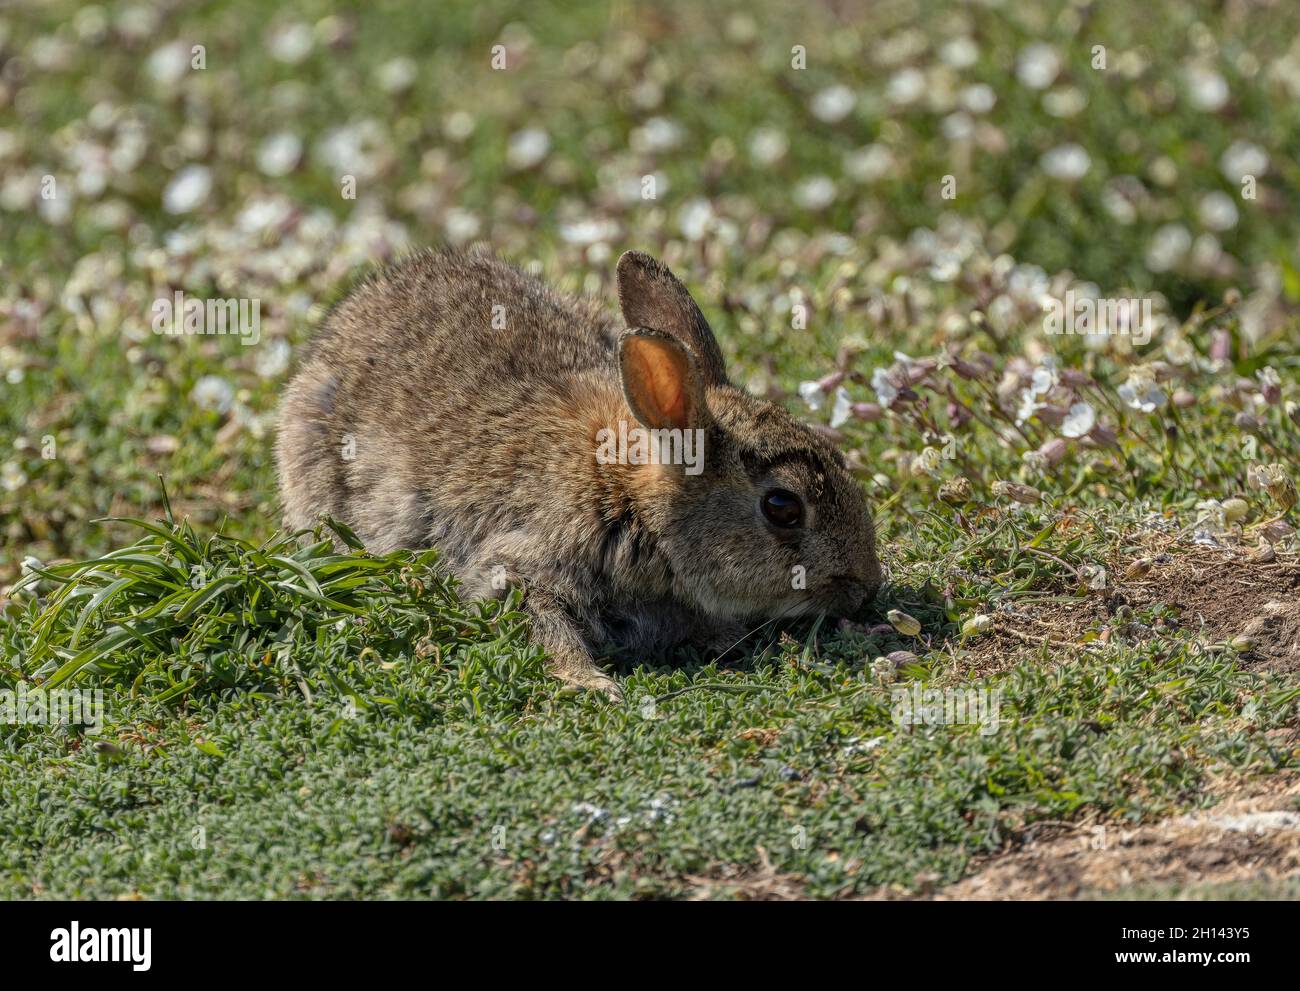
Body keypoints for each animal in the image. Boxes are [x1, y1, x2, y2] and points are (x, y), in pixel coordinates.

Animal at [274, 245, 883, 697]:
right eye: (783, 508)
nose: (866, 588)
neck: (631, 500)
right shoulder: (522, 561)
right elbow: (541, 621)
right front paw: (591, 683)